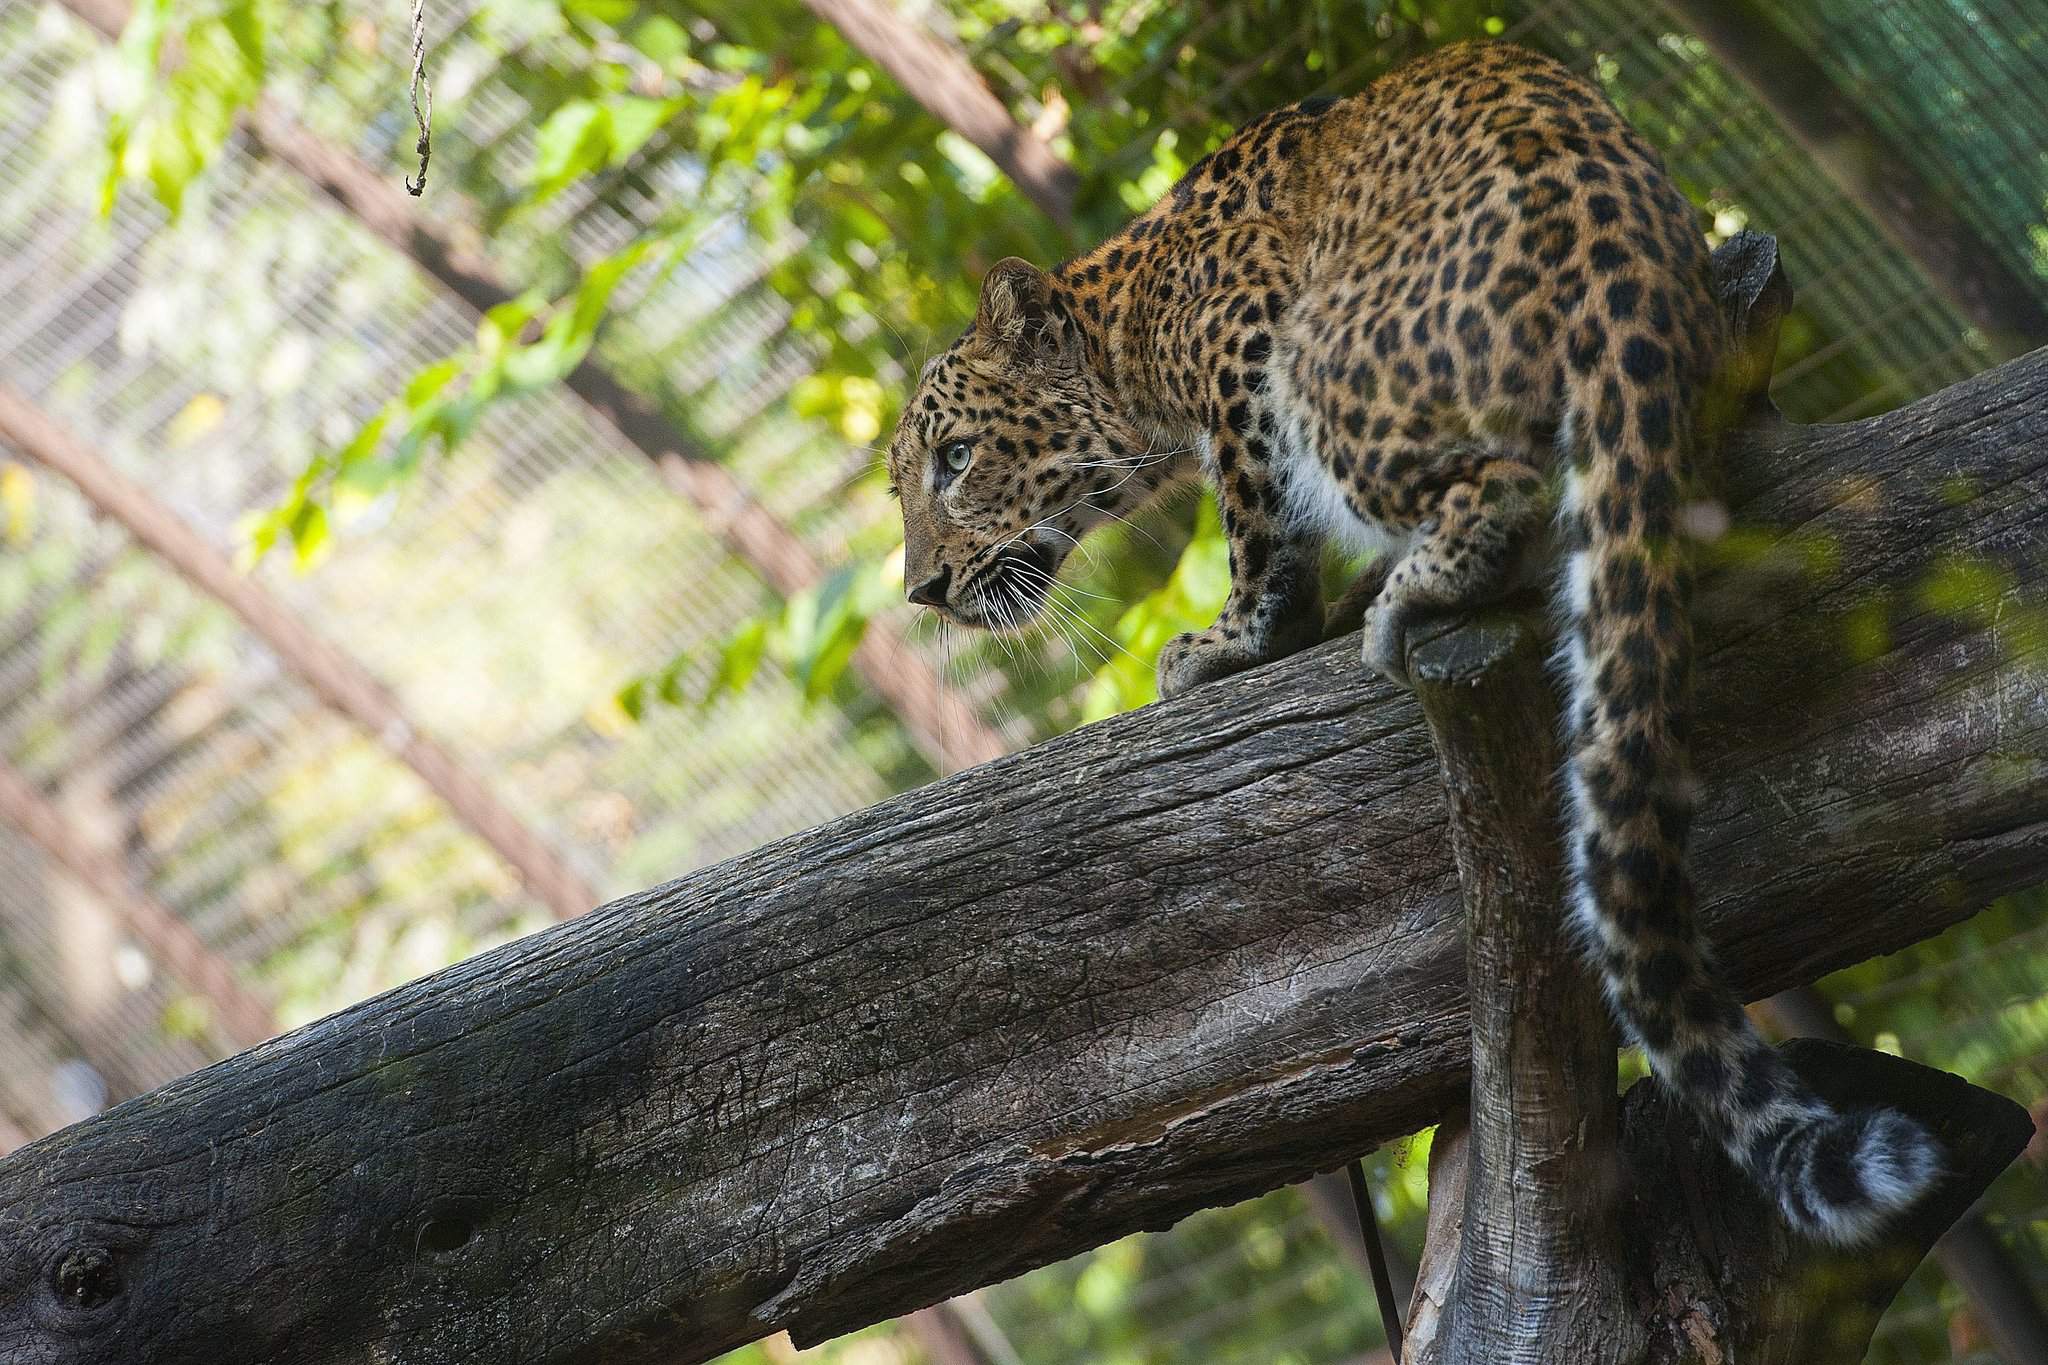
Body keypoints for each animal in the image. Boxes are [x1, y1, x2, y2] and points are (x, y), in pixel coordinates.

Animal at [880, 42, 1933, 1244]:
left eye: (957, 458)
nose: (920, 590)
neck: (1129, 337)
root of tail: (1612, 238)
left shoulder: (1242, 348)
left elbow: (1260, 532)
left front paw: (1231, 642)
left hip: (1325, 360)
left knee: (1506, 487)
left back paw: (1407, 594)